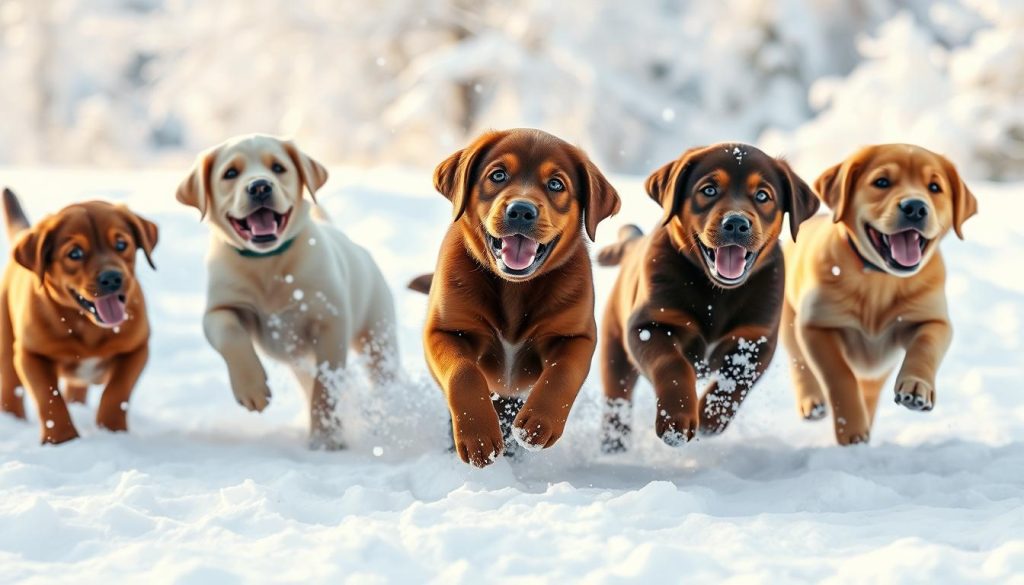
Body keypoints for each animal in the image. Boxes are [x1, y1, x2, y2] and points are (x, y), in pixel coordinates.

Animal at [1, 189, 156, 442]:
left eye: (121, 244)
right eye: (75, 253)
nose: (112, 278)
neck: (88, 326)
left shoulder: (137, 349)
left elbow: (118, 391)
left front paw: (111, 431)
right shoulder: (30, 354)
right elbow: (49, 398)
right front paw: (62, 439)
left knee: (77, 389)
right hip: (6, 341)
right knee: (10, 388)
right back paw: (13, 420)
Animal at [176, 136, 399, 448]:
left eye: (278, 168)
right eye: (230, 173)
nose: (260, 186)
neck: (267, 262)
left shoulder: (330, 321)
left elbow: (326, 386)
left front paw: (326, 439)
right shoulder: (220, 308)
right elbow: (230, 335)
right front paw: (252, 389)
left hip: (377, 333)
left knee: (382, 373)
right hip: (300, 361)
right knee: (307, 383)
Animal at [409, 128, 618, 467]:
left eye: (556, 184)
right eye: (498, 175)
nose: (521, 210)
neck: (514, 288)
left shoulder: (576, 336)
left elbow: (562, 373)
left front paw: (537, 424)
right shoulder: (444, 330)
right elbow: (463, 373)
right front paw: (479, 436)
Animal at [598, 143, 819, 452]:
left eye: (763, 196)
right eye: (709, 190)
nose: (736, 223)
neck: (718, 293)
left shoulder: (756, 339)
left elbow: (735, 382)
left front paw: (710, 420)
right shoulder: (649, 325)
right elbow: (672, 365)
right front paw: (676, 421)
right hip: (614, 346)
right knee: (617, 396)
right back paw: (614, 446)